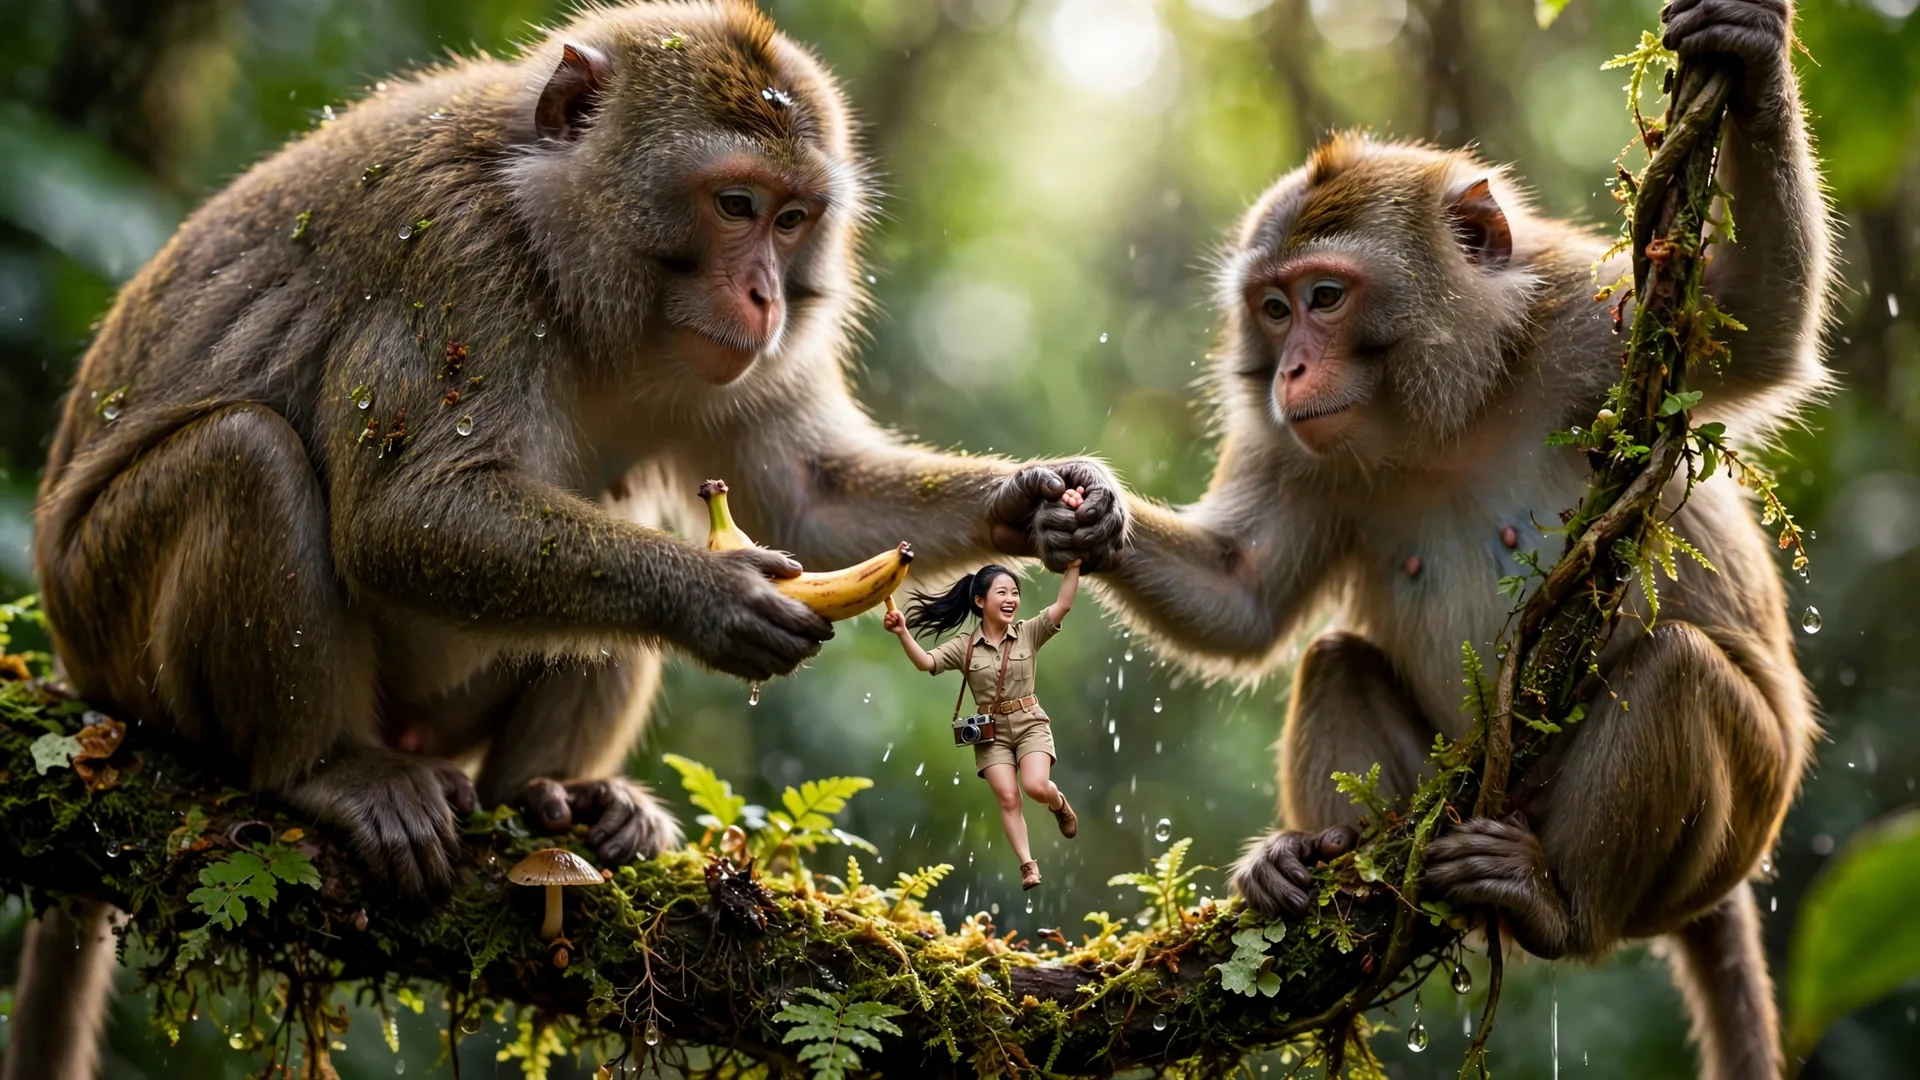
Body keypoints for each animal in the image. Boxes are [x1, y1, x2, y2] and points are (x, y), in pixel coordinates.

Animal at [6, 4, 1126, 1078]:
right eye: (735, 205)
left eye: (793, 218)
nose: (767, 295)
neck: (557, 248)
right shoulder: (450, 254)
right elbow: (399, 515)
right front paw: (710, 597)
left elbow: (810, 499)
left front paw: (1040, 501)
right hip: (116, 633)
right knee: (247, 458)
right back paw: (325, 771)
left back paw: (556, 805)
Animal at [1089, 3, 1825, 1077]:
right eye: (1272, 307)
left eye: (1324, 297)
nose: (1289, 369)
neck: (1446, 418)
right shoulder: (1296, 449)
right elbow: (1246, 594)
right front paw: (1072, 510)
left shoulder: (1594, 327)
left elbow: (1754, 321)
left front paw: (1755, 56)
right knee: (1333, 659)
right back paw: (1314, 868)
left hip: (1732, 830)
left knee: (1680, 669)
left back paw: (1557, 908)